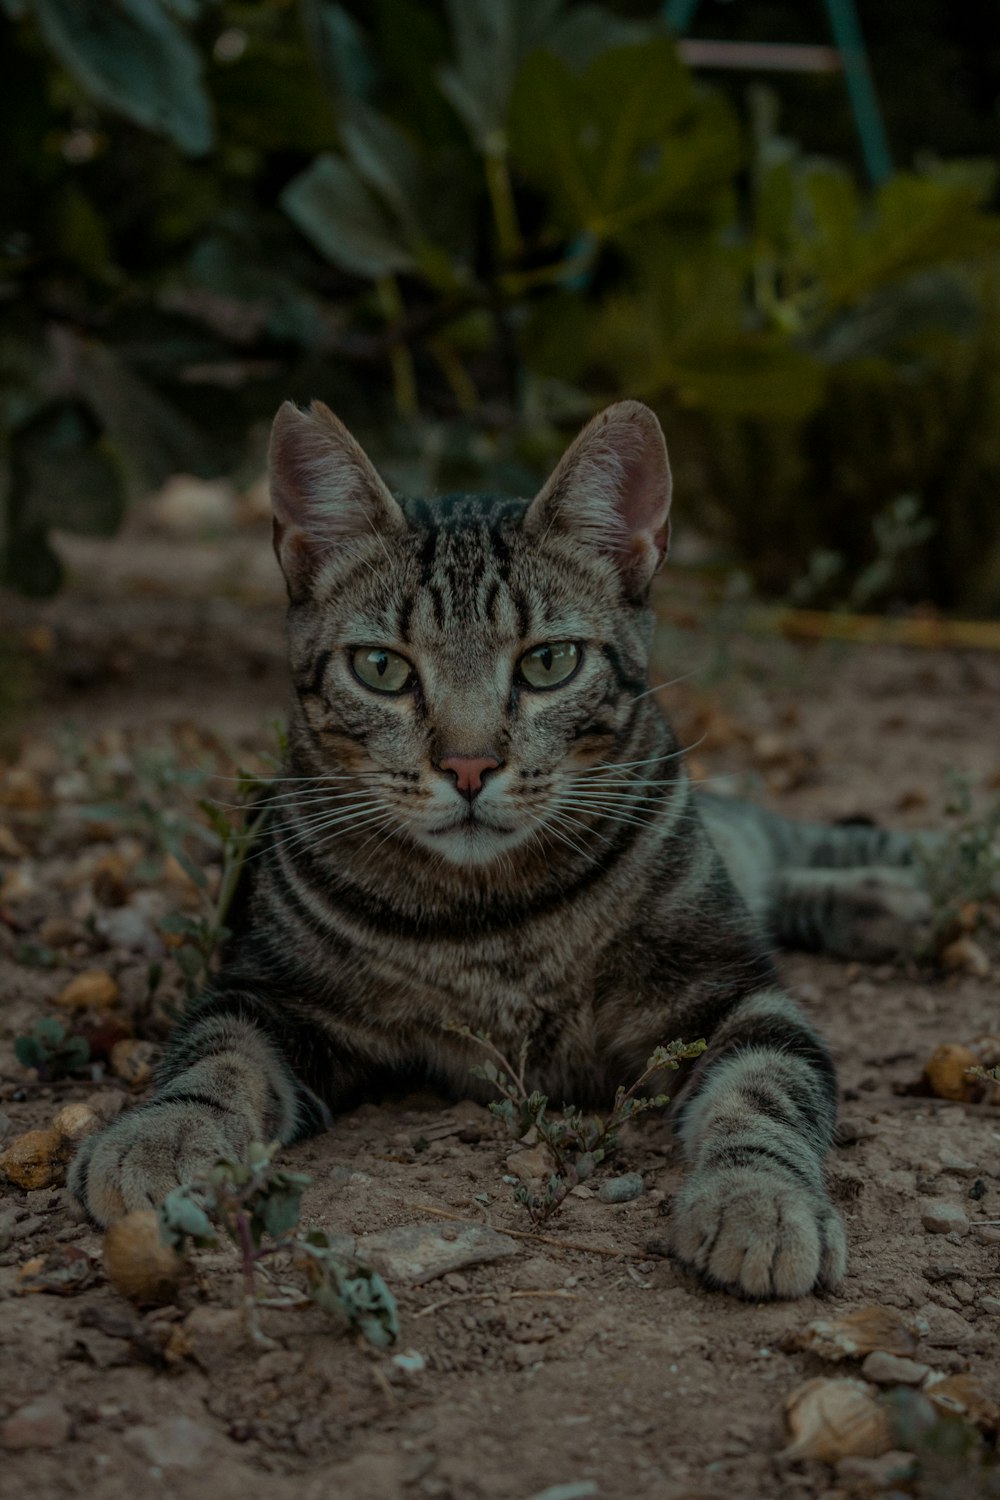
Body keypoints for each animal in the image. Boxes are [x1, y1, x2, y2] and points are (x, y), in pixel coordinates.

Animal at [70, 399, 929, 1302]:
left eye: (548, 662)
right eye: (381, 668)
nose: (469, 765)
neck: (492, 919)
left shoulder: (732, 990)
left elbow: (764, 1091)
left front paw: (757, 1197)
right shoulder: (269, 991)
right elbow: (216, 1056)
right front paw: (163, 1133)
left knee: (799, 839)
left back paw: (920, 878)